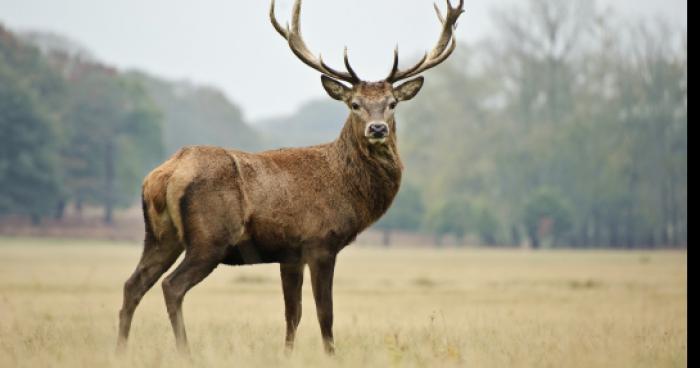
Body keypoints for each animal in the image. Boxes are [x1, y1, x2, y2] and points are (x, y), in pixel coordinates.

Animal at [115, 0, 464, 356]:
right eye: (354, 104)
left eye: (392, 103)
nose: (377, 128)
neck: (347, 188)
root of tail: (165, 174)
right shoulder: (320, 242)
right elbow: (325, 313)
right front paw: (331, 356)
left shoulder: (290, 253)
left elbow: (292, 313)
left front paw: (287, 354)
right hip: (209, 238)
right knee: (172, 286)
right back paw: (185, 352)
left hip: (160, 236)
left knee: (132, 285)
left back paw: (121, 350)